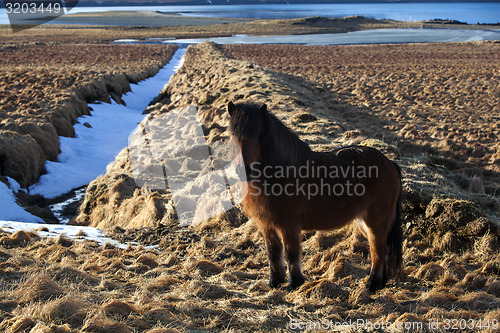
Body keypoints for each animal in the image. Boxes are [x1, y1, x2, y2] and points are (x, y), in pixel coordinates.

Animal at [229, 100, 404, 290]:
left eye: (258, 134)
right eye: (233, 134)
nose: (243, 170)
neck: (282, 173)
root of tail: (390, 163)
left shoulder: (288, 225)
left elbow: (291, 253)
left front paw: (294, 283)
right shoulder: (267, 225)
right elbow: (273, 253)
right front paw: (275, 282)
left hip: (375, 222)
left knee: (378, 251)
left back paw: (371, 285)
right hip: (365, 223)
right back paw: (379, 284)